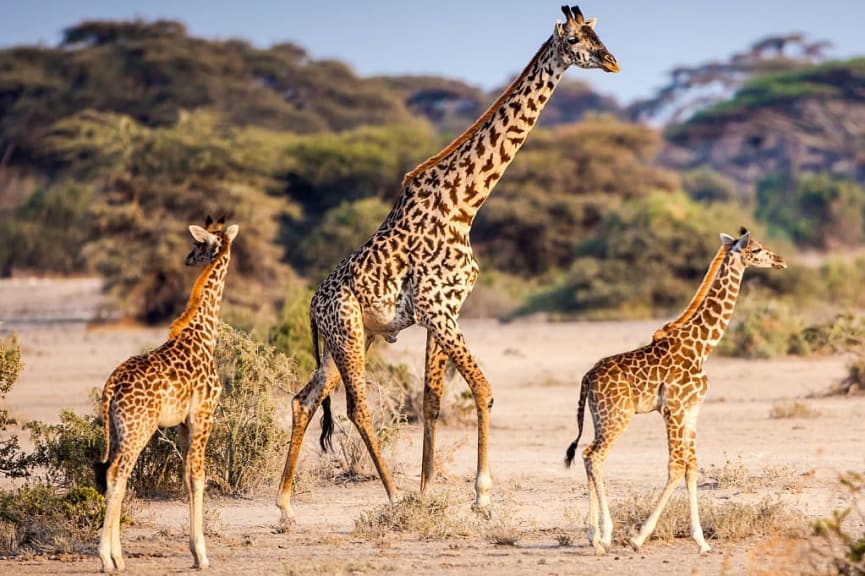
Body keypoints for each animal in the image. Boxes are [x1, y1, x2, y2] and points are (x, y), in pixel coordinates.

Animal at [96, 216, 238, 572]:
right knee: (117, 475)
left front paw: (194, 551)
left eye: (198, 245)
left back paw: (118, 557)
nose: (187, 259)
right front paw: (202, 555)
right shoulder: (203, 414)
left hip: (117, 430)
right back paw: (105, 558)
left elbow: (188, 478)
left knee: (114, 476)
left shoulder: (183, 423)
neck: (204, 333)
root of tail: (111, 387)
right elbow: (199, 477)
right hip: (138, 429)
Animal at [274, 3, 616, 520]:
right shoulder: (437, 309)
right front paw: (479, 496)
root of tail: (312, 306)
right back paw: (390, 495)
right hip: (348, 333)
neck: (464, 204)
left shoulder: (445, 310)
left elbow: (432, 400)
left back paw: (286, 507)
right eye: (577, 39)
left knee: (303, 401)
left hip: (348, 340)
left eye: (600, 35)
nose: (612, 62)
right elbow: (483, 389)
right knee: (356, 406)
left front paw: (428, 490)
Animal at [564, 228, 788, 552]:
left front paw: (702, 541)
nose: (781, 260)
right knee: (595, 456)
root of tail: (586, 378)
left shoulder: (692, 411)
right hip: (617, 417)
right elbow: (676, 467)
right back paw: (603, 536)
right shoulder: (673, 409)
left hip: (600, 417)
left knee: (587, 454)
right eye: (757, 249)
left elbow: (692, 467)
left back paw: (594, 535)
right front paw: (639, 537)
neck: (703, 346)